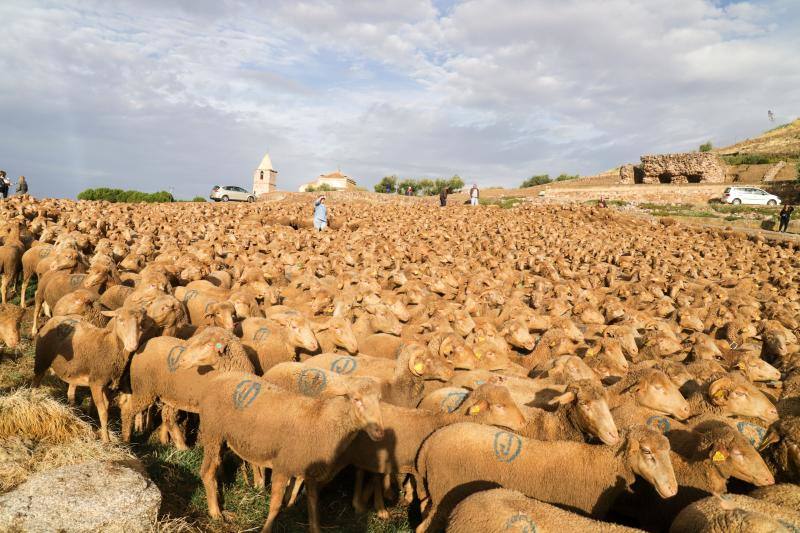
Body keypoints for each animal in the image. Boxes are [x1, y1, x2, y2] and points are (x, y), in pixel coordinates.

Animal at [31, 306, 147, 442]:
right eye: (120, 320)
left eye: (141, 323)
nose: (133, 345)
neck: (110, 346)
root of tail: (53, 319)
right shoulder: (95, 383)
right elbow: (103, 412)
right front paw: (106, 440)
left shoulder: (106, 385)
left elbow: (106, 407)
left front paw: (102, 432)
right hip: (42, 359)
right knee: (35, 382)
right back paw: (33, 401)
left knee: (70, 393)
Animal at [200, 370, 388, 532]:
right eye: (356, 399)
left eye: (379, 399)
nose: (380, 432)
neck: (323, 421)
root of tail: (221, 375)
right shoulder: (283, 466)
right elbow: (275, 505)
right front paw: (266, 528)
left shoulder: (311, 471)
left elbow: (313, 502)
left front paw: (315, 529)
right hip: (213, 432)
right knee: (207, 471)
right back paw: (215, 512)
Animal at [416, 424, 680, 532]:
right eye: (646, 452)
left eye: (668, 450)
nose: (673, 491)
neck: (600, 464)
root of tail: (428, 444)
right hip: (444, 493)